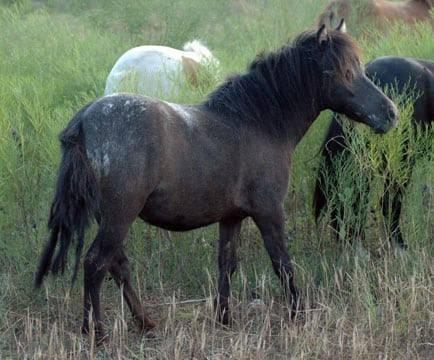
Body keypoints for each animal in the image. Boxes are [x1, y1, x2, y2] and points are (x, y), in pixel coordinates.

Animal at [35, 21, 398, 344]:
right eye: (346, 72)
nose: (391, 113)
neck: (256, 121)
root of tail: (84, 121)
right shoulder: (269, 211)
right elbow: (282, 263)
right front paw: (300, 315)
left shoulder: (232, 217)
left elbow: (227, 264)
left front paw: (224, 318)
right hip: (119, 216)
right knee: (96, 264)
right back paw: (95, 332)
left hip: (110, 218)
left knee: (117, 264)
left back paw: (145, 322)